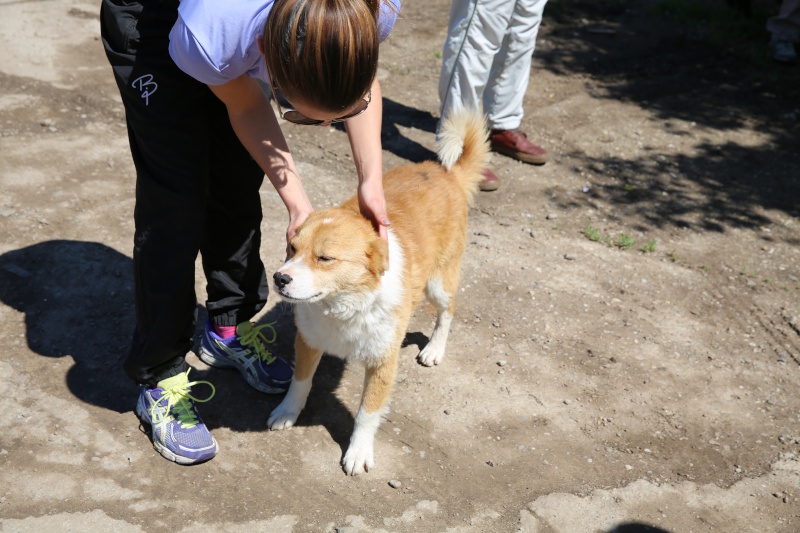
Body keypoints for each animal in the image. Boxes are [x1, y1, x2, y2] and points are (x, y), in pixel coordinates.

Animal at [268, 108, 488, 474]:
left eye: (325, 258)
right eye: (292, 249)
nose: (279, 278)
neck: (344, 306)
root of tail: (446, 172)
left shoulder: (384, 361)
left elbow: (367, 414)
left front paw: (358, 452)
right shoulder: (309, 341)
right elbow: (300, 383)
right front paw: (287, 412)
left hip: (438, 285)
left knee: (448, 311)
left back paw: (434, 349)